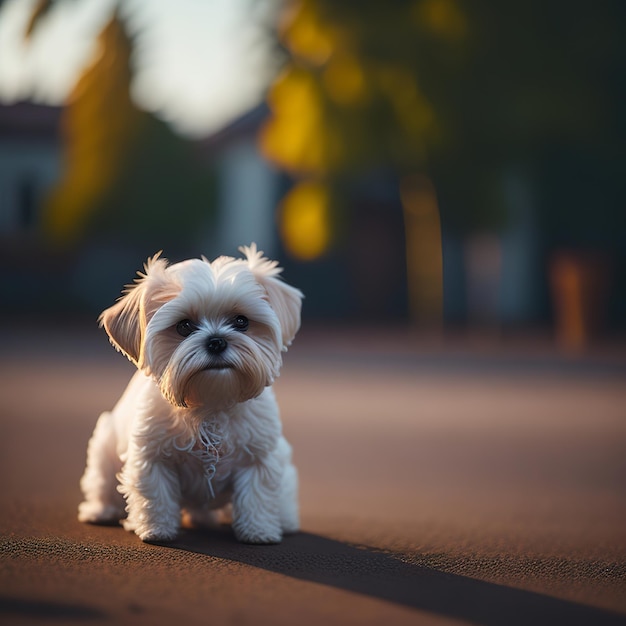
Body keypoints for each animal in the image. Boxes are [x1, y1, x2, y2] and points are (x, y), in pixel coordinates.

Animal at [78, 244, 302, 540]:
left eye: (241, 321)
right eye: (184, 326)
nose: (216, 340)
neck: (210, 401)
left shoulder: (260, 455)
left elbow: (258, 495)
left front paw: (259, 531)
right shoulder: (151, 455)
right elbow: (154, 494)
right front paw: (156, 529)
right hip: (104, 447)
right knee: (102, 485)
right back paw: (100, 511)